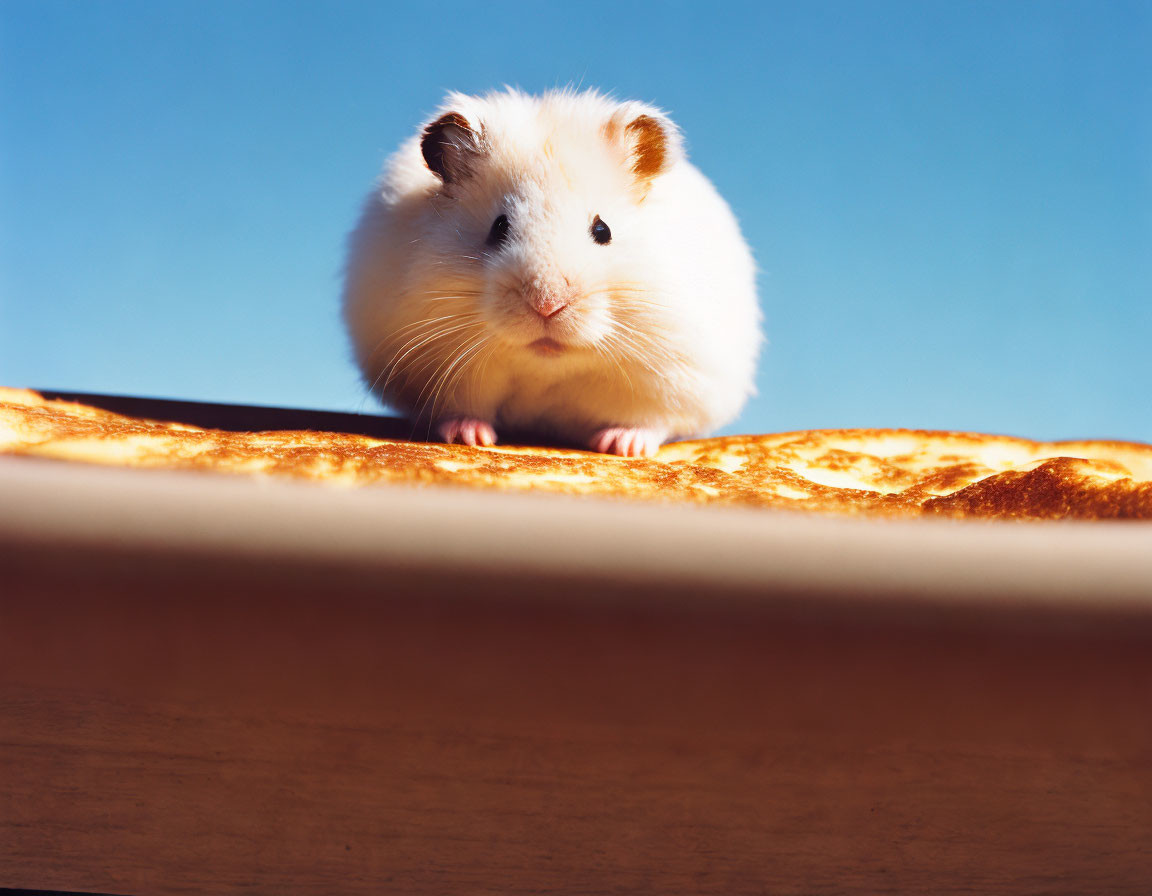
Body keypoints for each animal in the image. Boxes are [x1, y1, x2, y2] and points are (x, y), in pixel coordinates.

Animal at [336, 85, 760, 453]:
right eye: (499, 227)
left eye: (603, 230)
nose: (546, 304)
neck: (546, 365)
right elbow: (459, 410)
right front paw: (470, 437)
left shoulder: (673, 377)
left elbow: (648, 421)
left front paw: (620, 446)